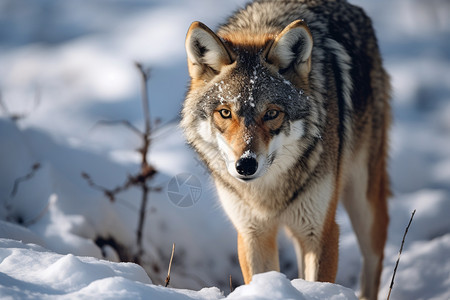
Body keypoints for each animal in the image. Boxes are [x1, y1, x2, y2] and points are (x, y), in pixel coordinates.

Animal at [179, 0, 390, 298]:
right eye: (225, 113)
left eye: (271, 114)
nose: (246, 165)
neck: (268, 193)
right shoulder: (252, 233)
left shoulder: (322, 232)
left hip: (364, 205)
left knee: (373, 262)